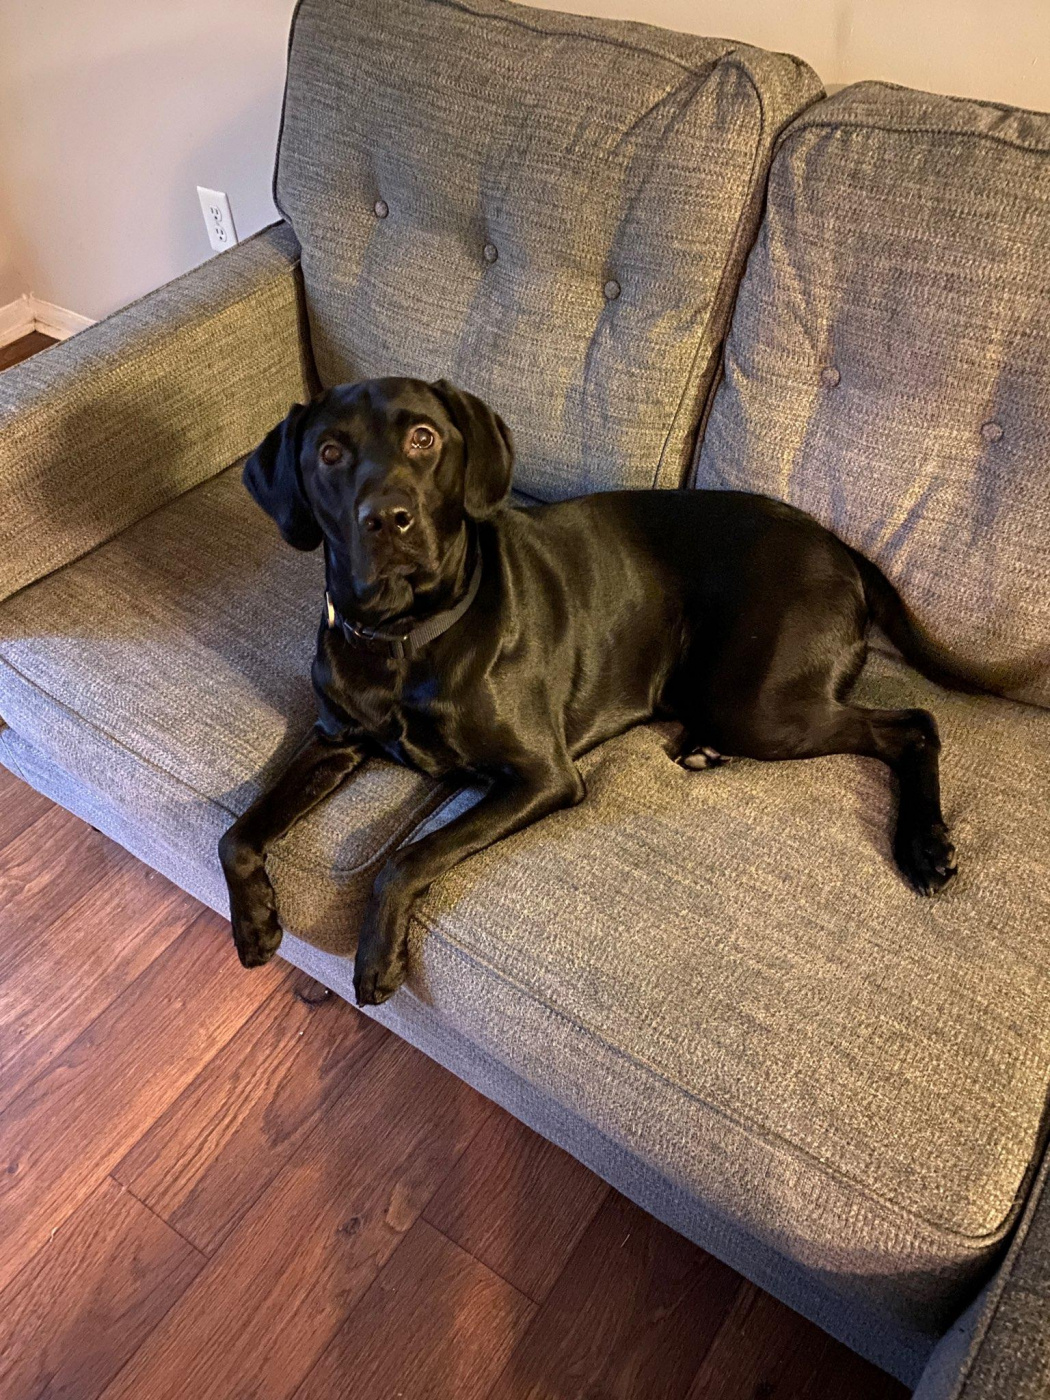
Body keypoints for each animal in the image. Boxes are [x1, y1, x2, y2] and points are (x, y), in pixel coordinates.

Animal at [219, 375, 988, 1006]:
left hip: (757, 705)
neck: (404, 639)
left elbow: (406, 856)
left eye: (424, 438)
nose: (388, 518)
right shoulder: (333, 741)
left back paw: (924, 848)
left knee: (915, 724)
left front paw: (376, 958)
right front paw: (254, 924)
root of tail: (840, 545)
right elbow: (236, 833)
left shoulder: (543, 775)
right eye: (329, 453)